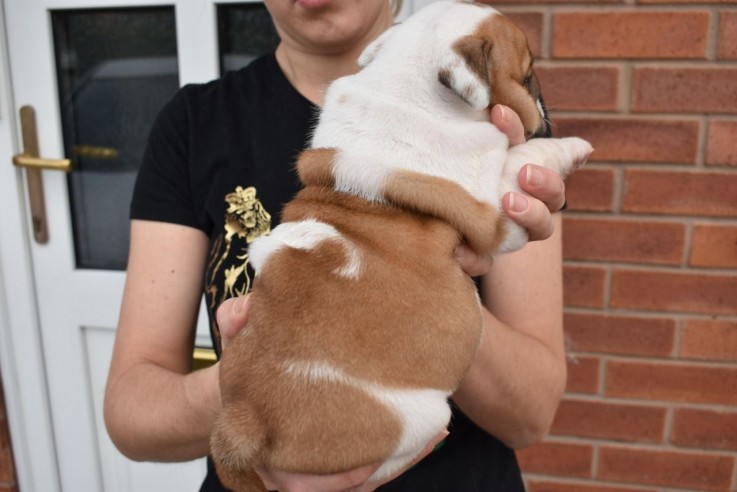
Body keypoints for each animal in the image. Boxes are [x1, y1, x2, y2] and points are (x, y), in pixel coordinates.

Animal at [210, 1, 588, 490]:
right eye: (527, 74)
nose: (544, 106)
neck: (407, 90)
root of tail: (245, 419)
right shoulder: (496, 211)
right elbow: (521, 157)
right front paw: (573, 146)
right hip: (419, 417)